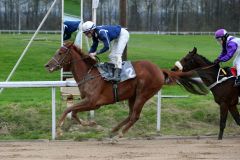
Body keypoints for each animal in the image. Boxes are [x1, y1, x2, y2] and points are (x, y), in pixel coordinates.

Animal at [44, 42, 206, 138]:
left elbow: (69, 110)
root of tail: (160, 70)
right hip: (132, 96)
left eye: (60, 53)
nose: (47, 65)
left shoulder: (93, 102)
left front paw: (59, 129)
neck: (90, 73)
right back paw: (113, 130)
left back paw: (120, 134)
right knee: (130, 115)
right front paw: (91, 124)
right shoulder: (90, 102)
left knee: (135, 116)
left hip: (143, 94)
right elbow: (74, 113)